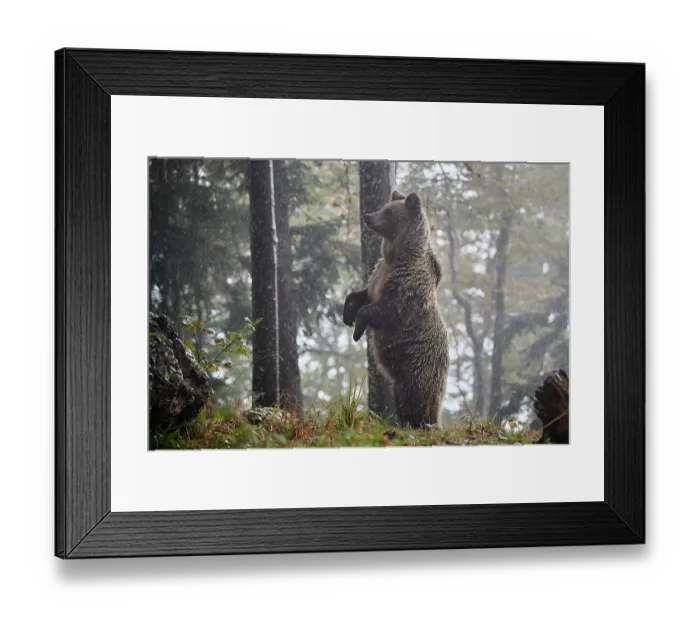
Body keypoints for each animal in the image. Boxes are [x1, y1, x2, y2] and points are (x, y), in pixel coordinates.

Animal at [343, 189, 450, 428]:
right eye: (384, 206)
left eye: (389, 211)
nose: (368, 216)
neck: (397, 256)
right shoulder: (378, 274)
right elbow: (361, 295)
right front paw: (347, 314)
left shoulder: (405, 290)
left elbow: (386, 310)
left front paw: (357, 330)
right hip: (400, 375)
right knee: (400, 396)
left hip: (416, 365)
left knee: (416, 396)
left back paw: (423, 423)